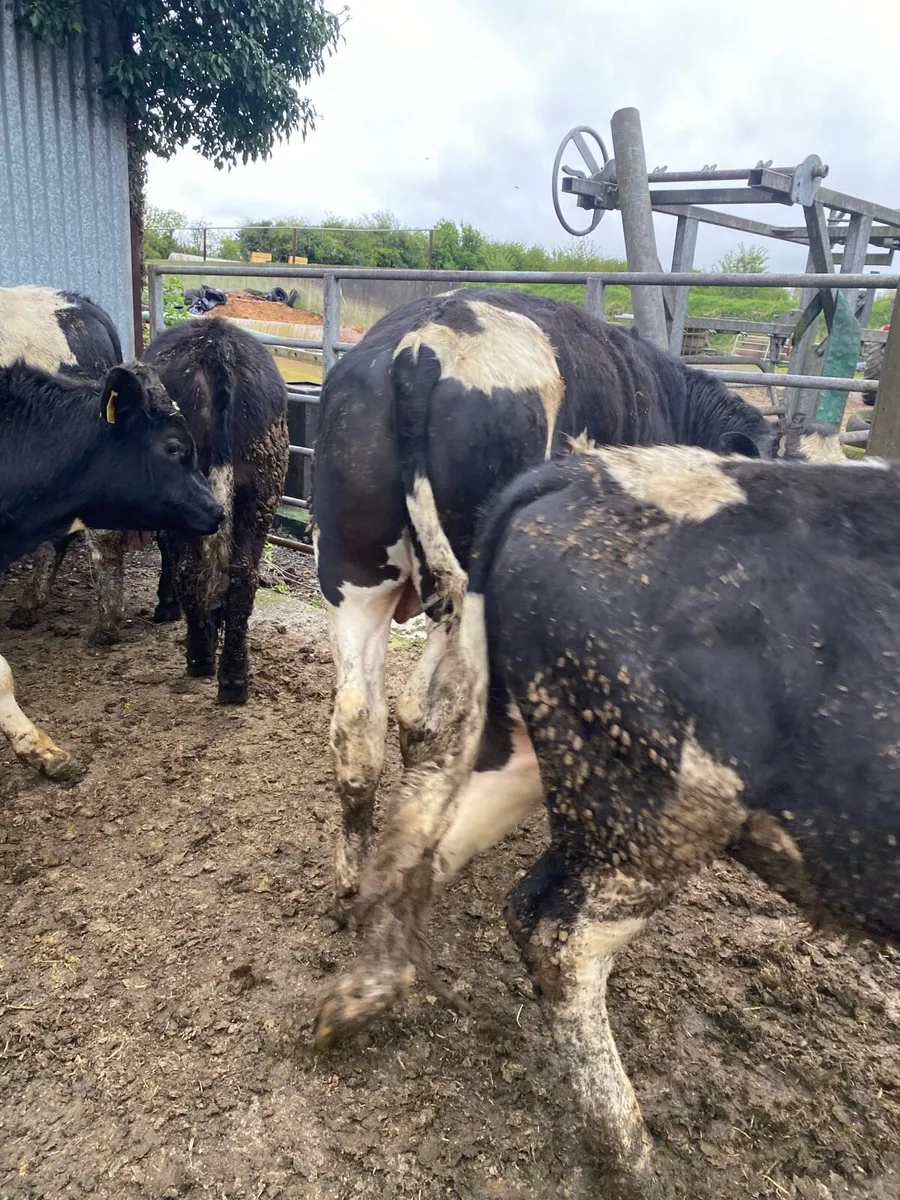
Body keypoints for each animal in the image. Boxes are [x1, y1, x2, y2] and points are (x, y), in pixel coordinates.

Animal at [142, 316, 290, 705]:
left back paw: (200, 657)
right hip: (261, 487)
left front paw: (167, 607)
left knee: (190, 569)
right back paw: (234, 679)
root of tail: (216, 343)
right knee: (242, 576)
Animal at [314, 441, 899, 1199]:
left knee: (421, 828)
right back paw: (629, 1155)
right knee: (559, 934)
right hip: (657, 806)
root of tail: (574, 474)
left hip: (524, 741)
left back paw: (355, 997)